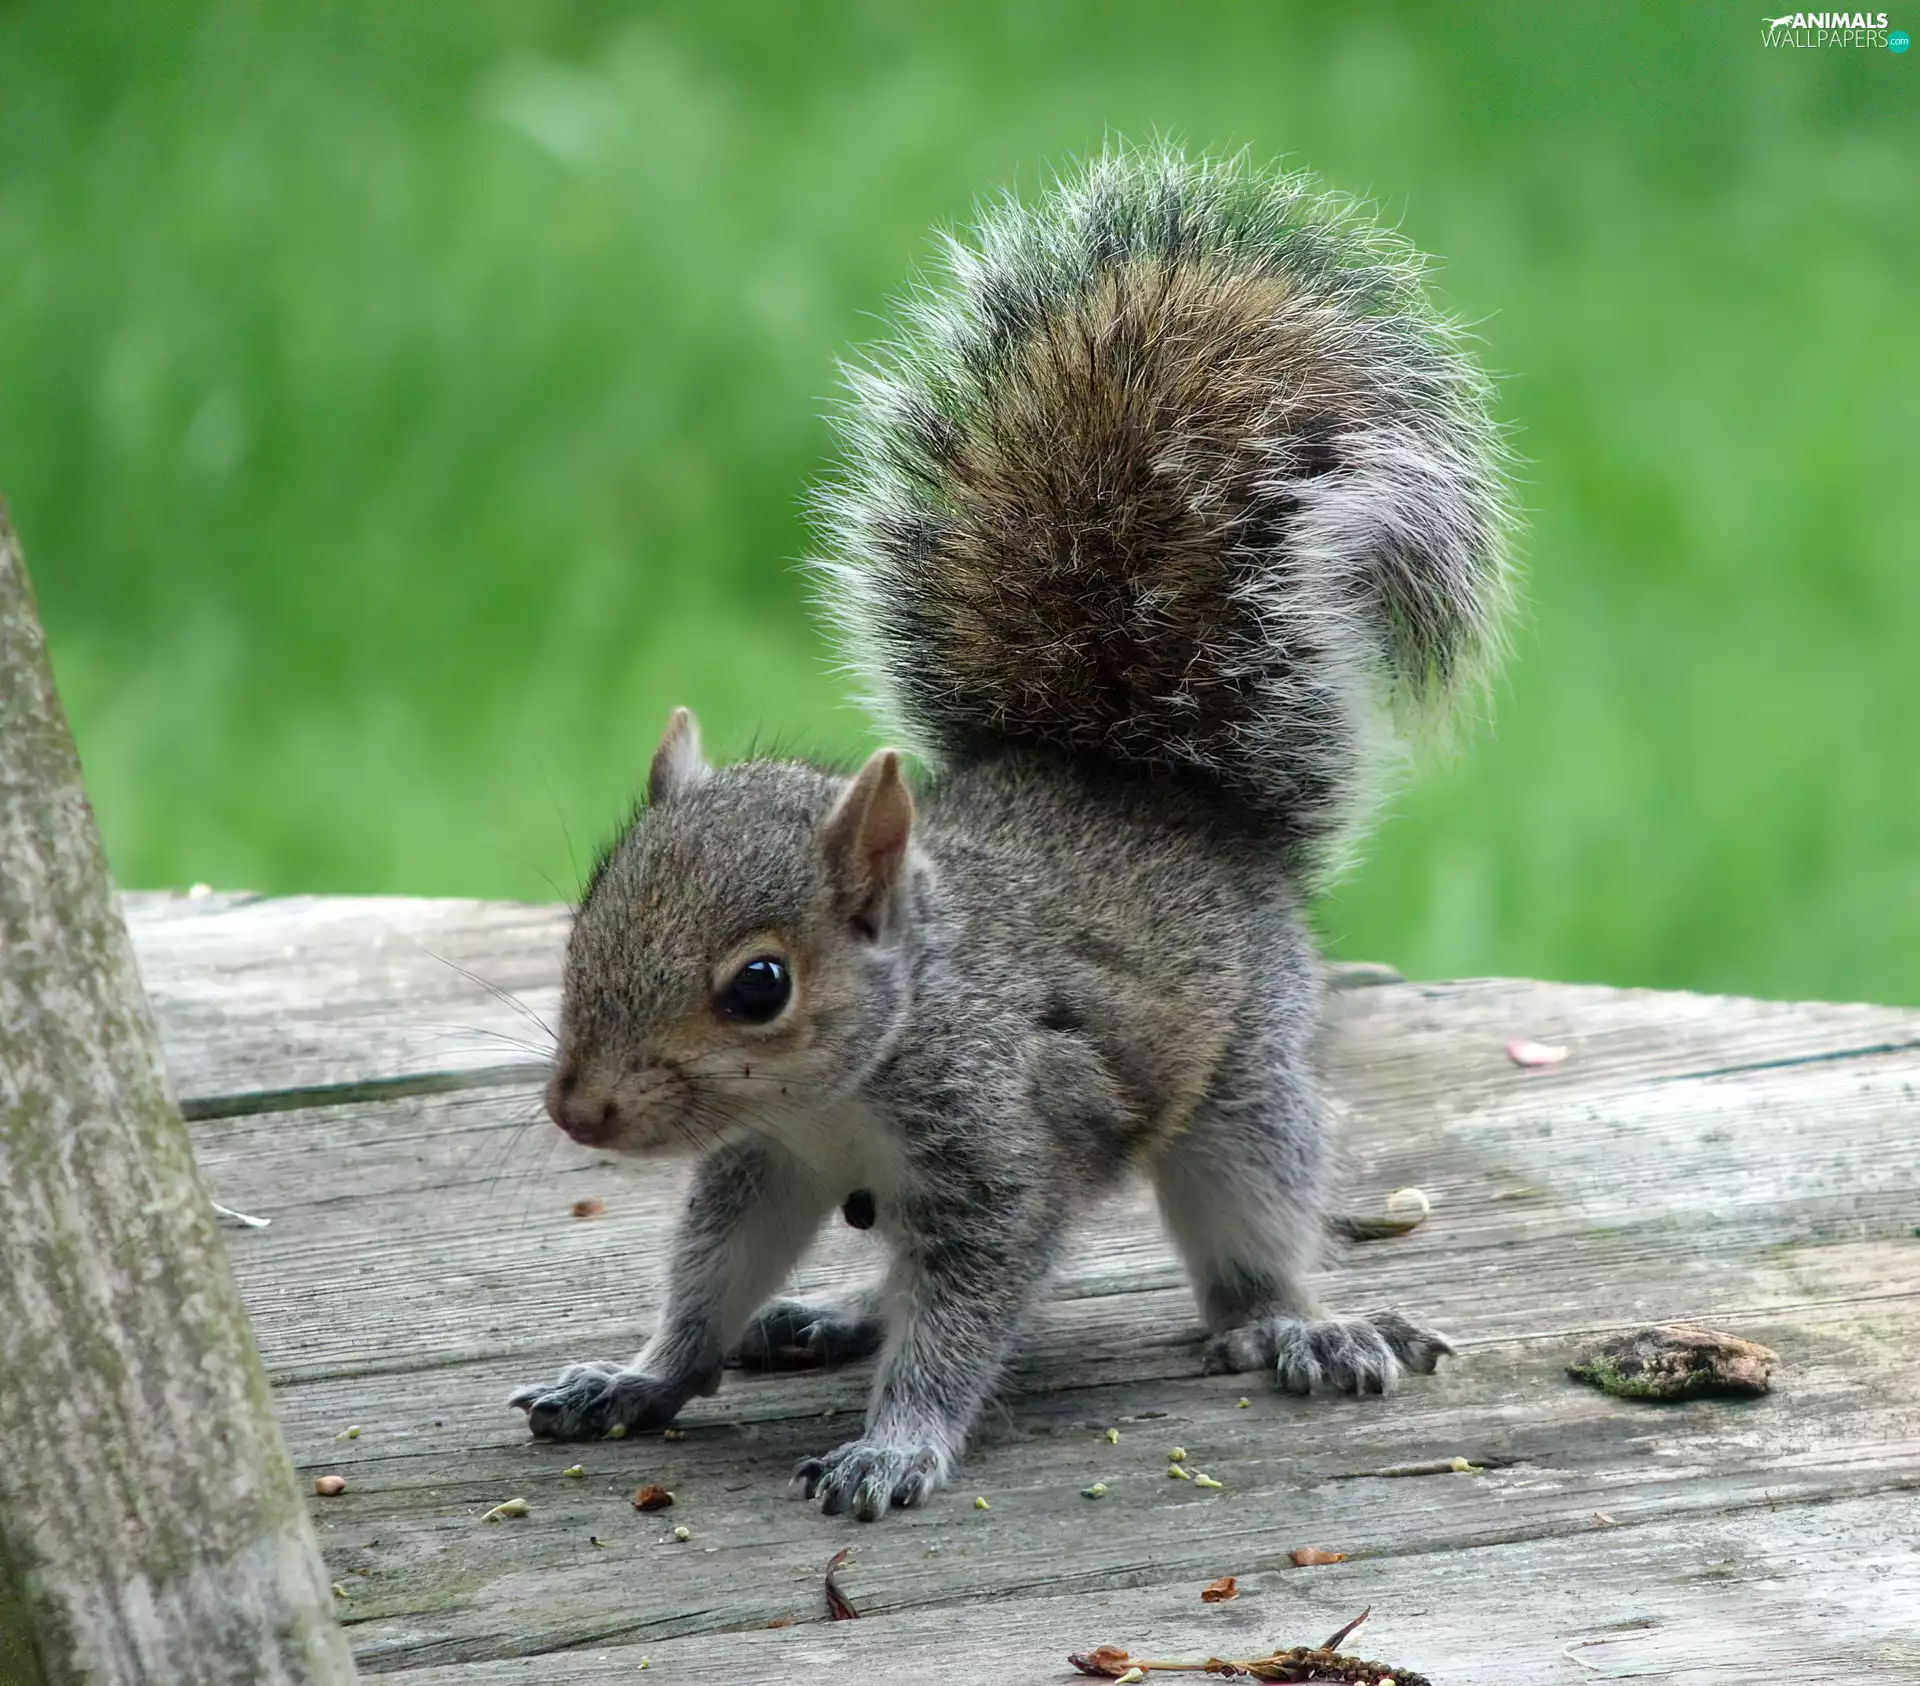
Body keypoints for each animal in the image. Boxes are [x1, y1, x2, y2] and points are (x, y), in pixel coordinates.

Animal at [509, 146, 1512, 1520]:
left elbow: (964, 1317)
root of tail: (1148, 792)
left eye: (760, 986)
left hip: (1246, 1088)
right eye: (586, 918)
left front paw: (896, 1447)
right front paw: (639, 1377)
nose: (579, 1111)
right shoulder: (766, 1161)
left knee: (1249, 1243)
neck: (860, 1075)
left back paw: (1299, 1327)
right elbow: (712, 1277)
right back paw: (833, 1314)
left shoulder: (1006, 1153)